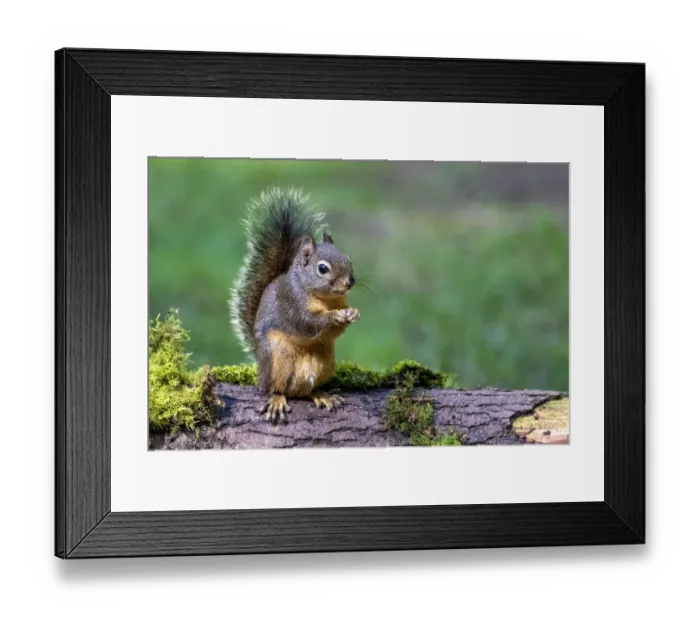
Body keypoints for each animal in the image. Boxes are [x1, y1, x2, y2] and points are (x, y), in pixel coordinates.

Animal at [229, 187, 360, 423]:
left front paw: (352, 313)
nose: (350, 282)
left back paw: (322, 395)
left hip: (325, 364)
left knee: (306, 390)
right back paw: (277, 400)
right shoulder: (292, 303)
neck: (325, 298)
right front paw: (334, 316)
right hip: (275, 361)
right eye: (323, 268)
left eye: (348, 259)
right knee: (276, 388)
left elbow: (334, 333)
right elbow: (308, 322)